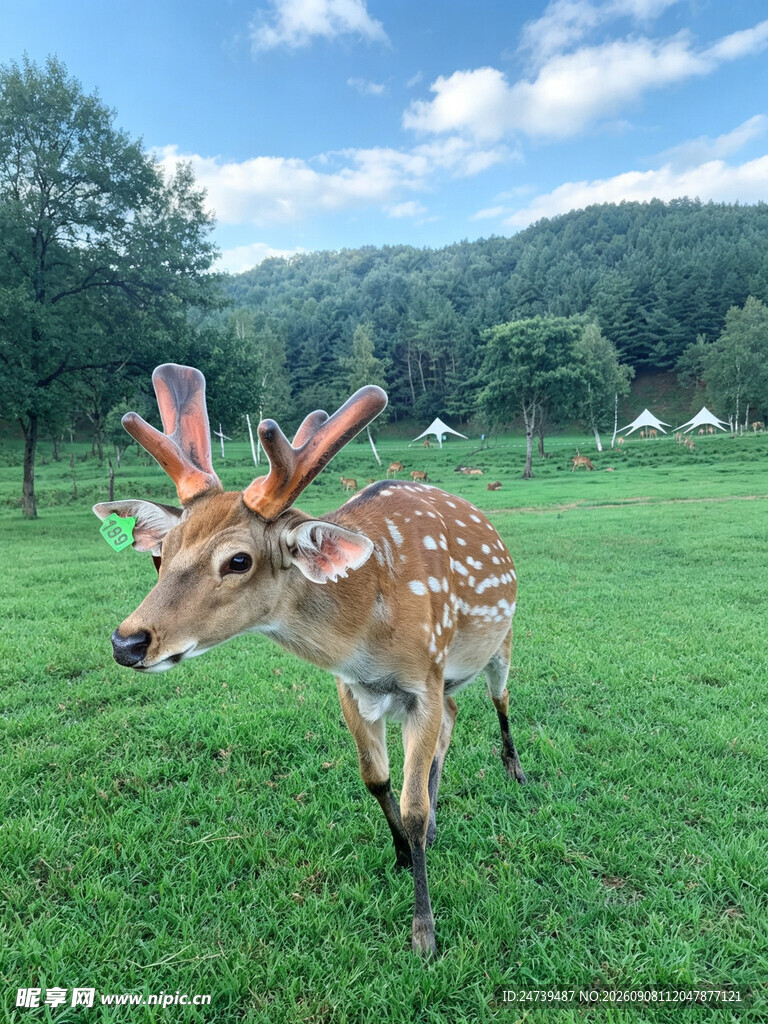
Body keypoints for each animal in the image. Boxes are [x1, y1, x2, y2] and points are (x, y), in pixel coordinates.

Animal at [92, 364, 524, 958]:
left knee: (500, 699)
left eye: (239, 560)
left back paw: (515, 769)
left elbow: (411, 806)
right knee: (453, 721)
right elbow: (376, 780)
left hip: (500, 642)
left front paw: (424, 931)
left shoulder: (424, 677)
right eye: (162, 554)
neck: (369, 636)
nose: (127, 642)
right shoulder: (354, 687)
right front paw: (399, 853)